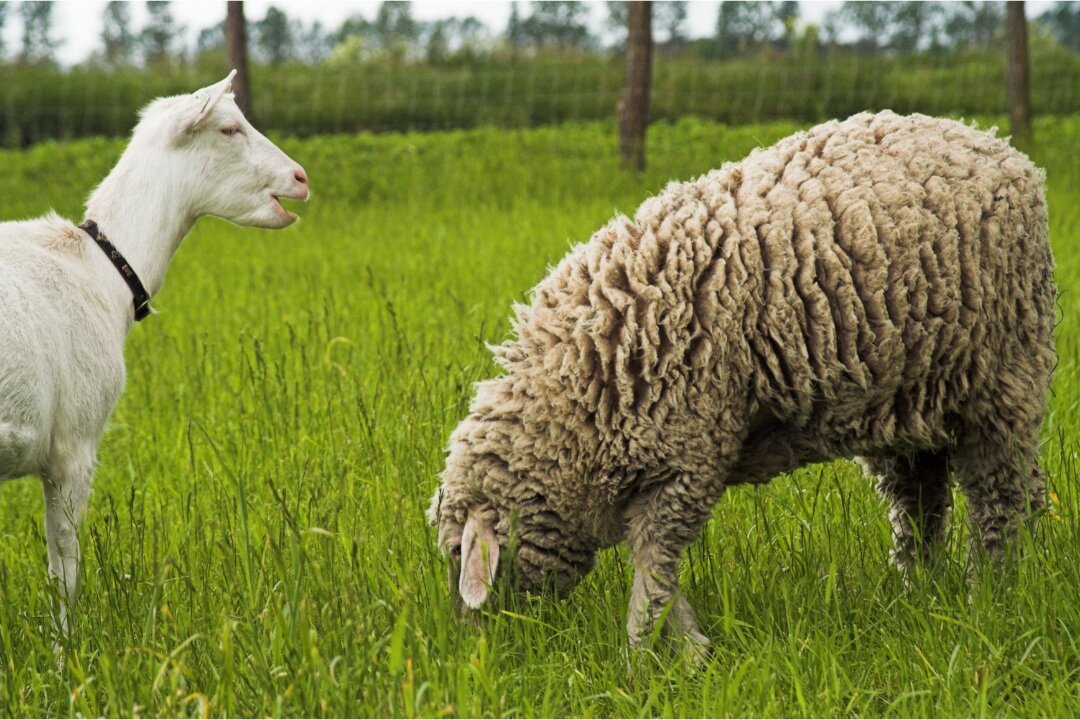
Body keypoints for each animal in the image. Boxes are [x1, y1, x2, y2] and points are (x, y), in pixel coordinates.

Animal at [0, 71, 309, 633]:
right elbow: (64, 567)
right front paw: (66, 650)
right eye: (229, 128)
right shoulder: (73, 443)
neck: (101, 270)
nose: (300, 178)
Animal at [429, 110, 1056, 657]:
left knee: (1002, 501)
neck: (579, 393)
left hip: (1005, 380)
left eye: (462, 552)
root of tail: (1001, 147)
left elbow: (653, 561)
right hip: (910, 401)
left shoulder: (686, 455)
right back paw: (919, 590)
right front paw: (685, 646)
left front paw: (649, 651)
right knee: (920, 502)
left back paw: (992, 593)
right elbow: (655, 564)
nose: (479, 642)